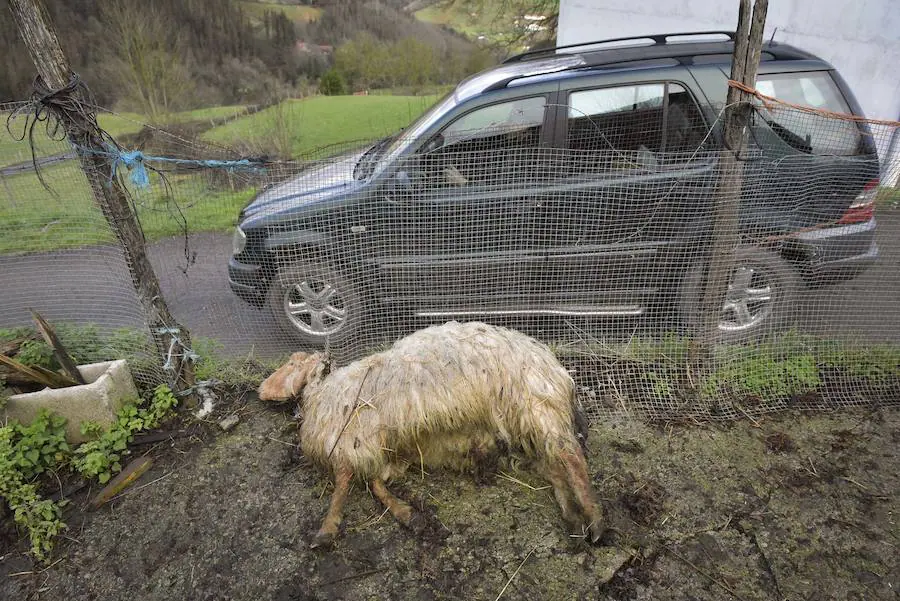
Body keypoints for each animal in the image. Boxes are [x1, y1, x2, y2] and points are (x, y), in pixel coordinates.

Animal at [256, 322, 604, 548]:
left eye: (292, 362)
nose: (263, 390)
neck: (323, 391)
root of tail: (557, 368)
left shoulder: (354, 441)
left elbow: (343, 485)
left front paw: (326, 530)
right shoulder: (384, 450)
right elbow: (376, 483)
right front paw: (407, 514)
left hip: (536, 405)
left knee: (572, 458)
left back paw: (596, 522)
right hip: (526, 426)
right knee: (556, 467)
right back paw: (573, 520)